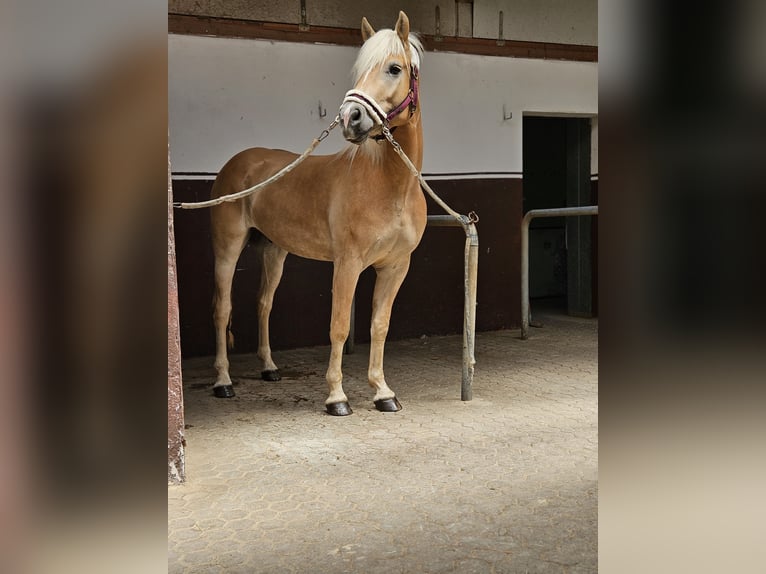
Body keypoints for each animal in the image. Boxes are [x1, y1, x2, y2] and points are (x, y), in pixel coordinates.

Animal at [210, 11, 426, 416]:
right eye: (358, 70)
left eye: (394, 68)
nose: (351, 117)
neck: (390, 184)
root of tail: (238, 162)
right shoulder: (348, 263)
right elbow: (338, 326)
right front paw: (337, 397)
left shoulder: (396, 266)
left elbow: (380, 325)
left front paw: (383, 392)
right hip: (227, 248)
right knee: (222, 308)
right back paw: (223, 382)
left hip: (275, 250)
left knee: (264, 303)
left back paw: (269, 368)